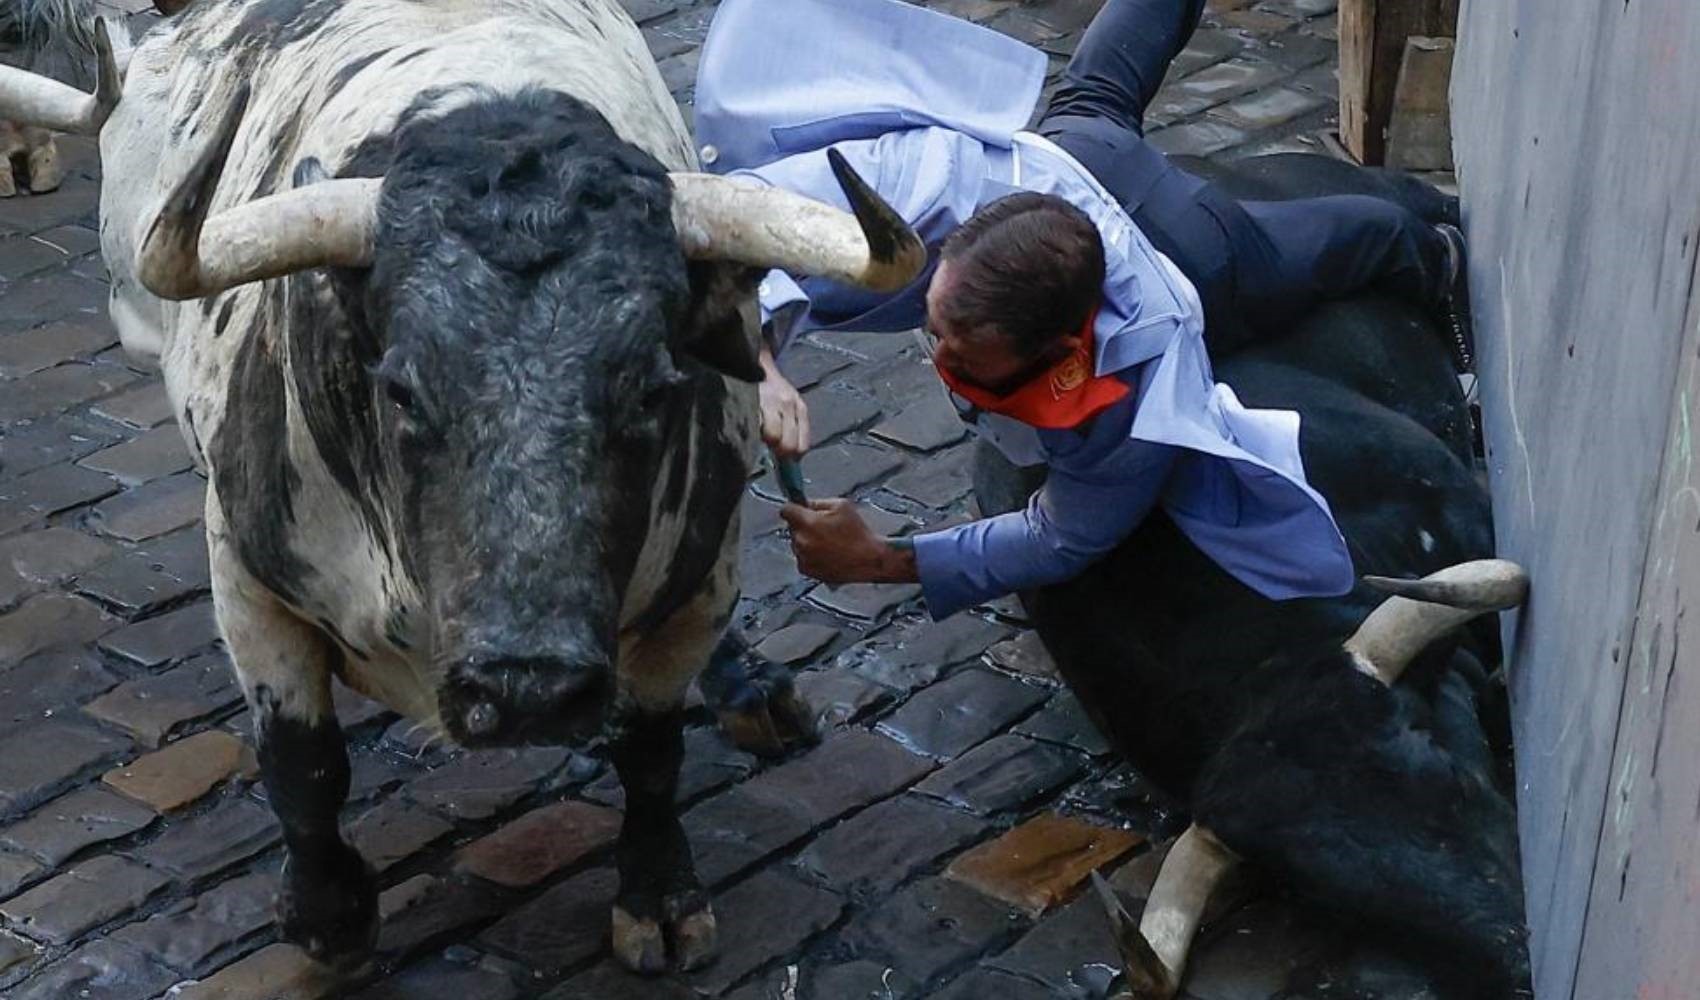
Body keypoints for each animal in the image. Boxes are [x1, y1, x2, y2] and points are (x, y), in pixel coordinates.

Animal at [0, 0, 924, 979]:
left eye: (653, 387)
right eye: (402, 389)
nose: (528, 689)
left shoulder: (704, 577)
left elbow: (650, 748)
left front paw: (660, 897)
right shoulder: (249, 580)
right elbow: (303, 760)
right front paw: (328, 914)